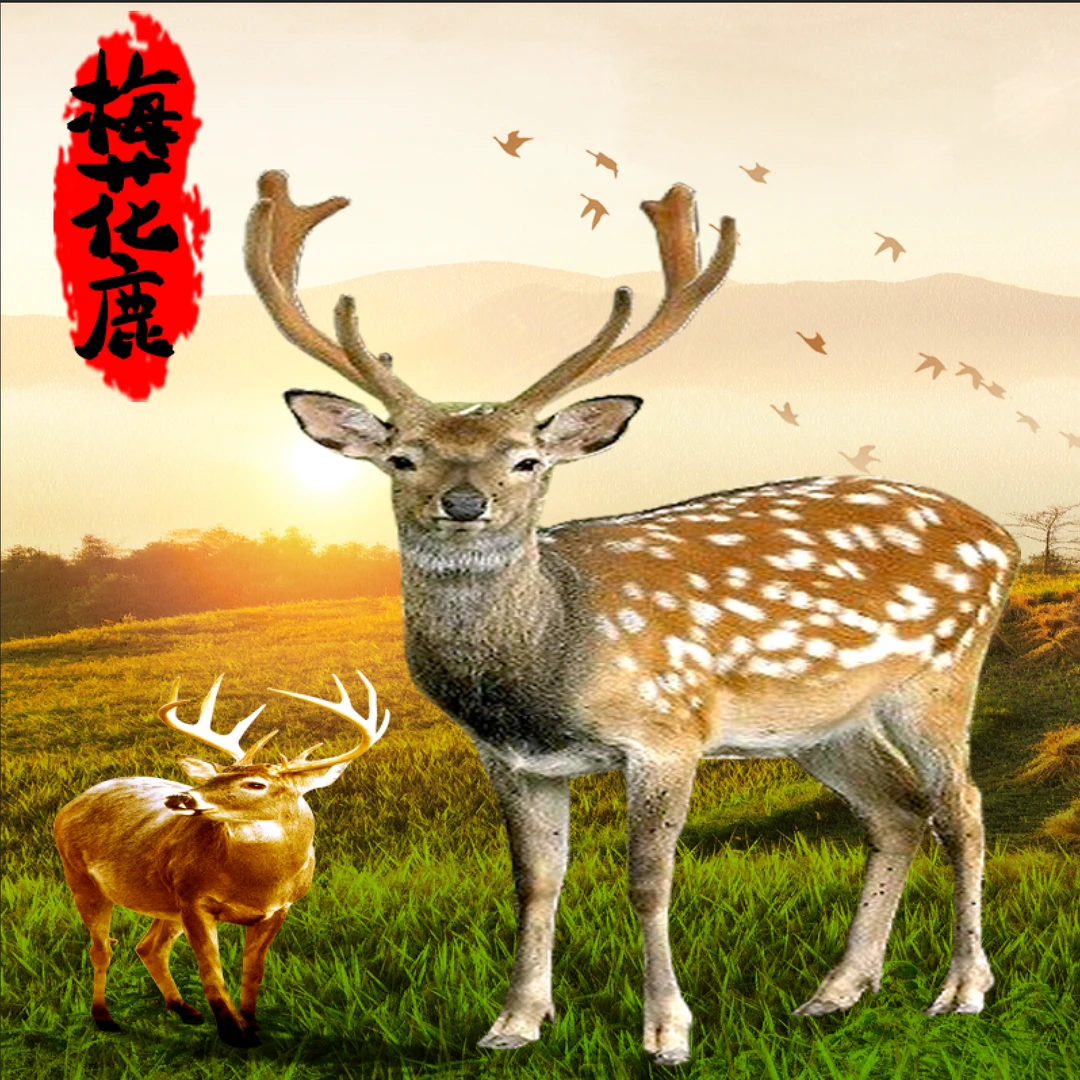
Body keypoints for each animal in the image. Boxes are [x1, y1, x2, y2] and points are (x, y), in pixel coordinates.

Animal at [54, 671, 389, 1048]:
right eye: (215, 776)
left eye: (255, 784)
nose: (181, 798)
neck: (255, 883)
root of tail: (70, 805)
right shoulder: (194, 899)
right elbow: (210, 969)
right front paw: (234, 1032)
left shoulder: (278, 908)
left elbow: (253, 971)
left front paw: (252, 1025)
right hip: (80, 877)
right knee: (101, 949)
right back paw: (104, 1017)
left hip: (165, 902)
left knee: (149, 947)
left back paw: (184, 1010)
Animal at [245, 169, 1019, 1065]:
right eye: (402, 457)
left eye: (527, 459)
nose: (464, 503)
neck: (547, 664)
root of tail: (1001, 536)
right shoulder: (512, 760)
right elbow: (535, 880)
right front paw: (514, 1022)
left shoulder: (665, 732)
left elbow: (649, 880)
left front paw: (666, 1031)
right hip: (823, 724)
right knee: (895, 813)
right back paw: (835, 991)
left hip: (941, 674)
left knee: (962, 809)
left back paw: (961, 990)